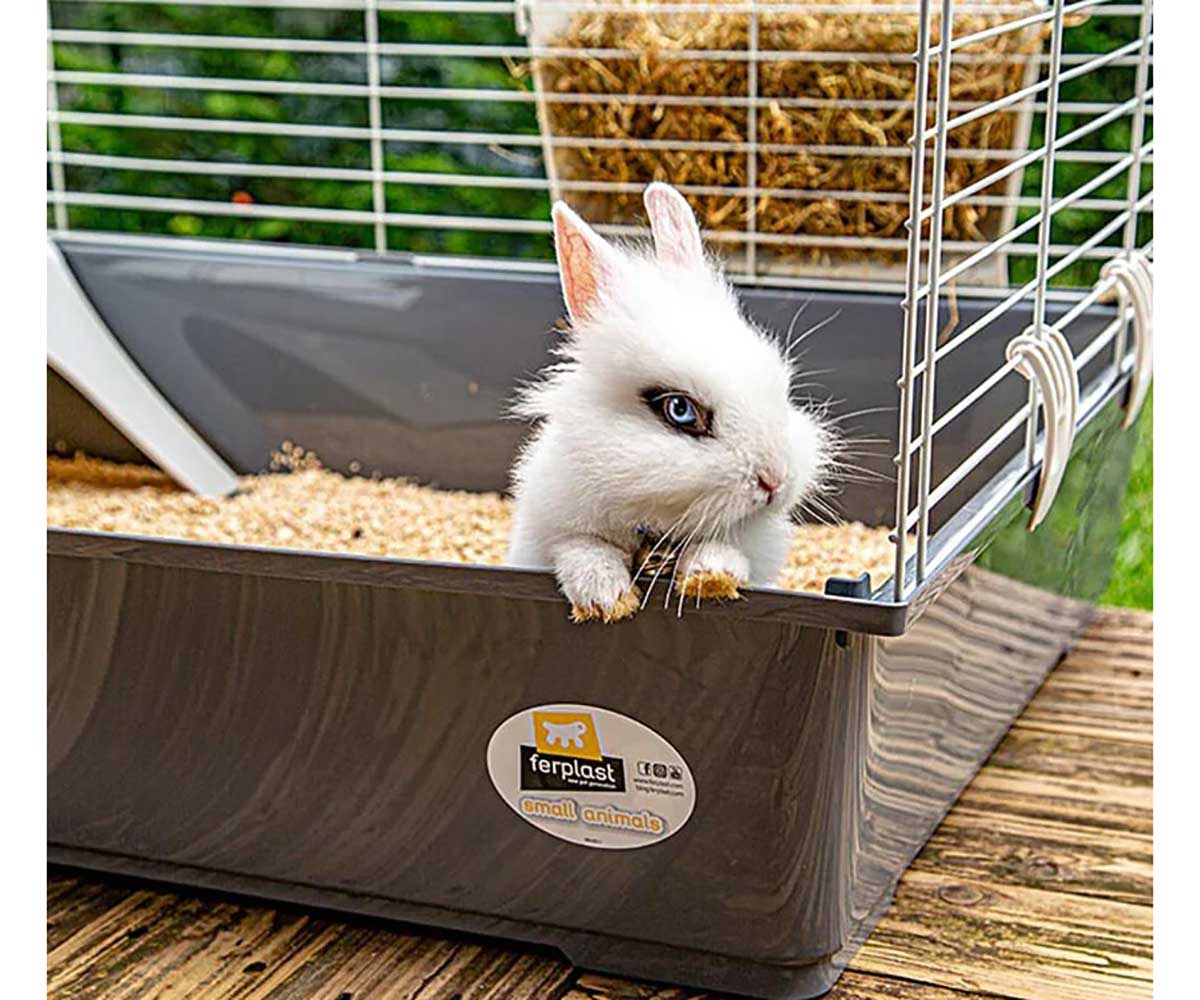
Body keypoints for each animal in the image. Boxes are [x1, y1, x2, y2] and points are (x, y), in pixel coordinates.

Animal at [507, 183, 830, 623]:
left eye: (779, 384)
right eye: (680, 410)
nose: (775, 480)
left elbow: (725, 547)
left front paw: (713, 576)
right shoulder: (550, 525)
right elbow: (581, 547)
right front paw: (604, 597)